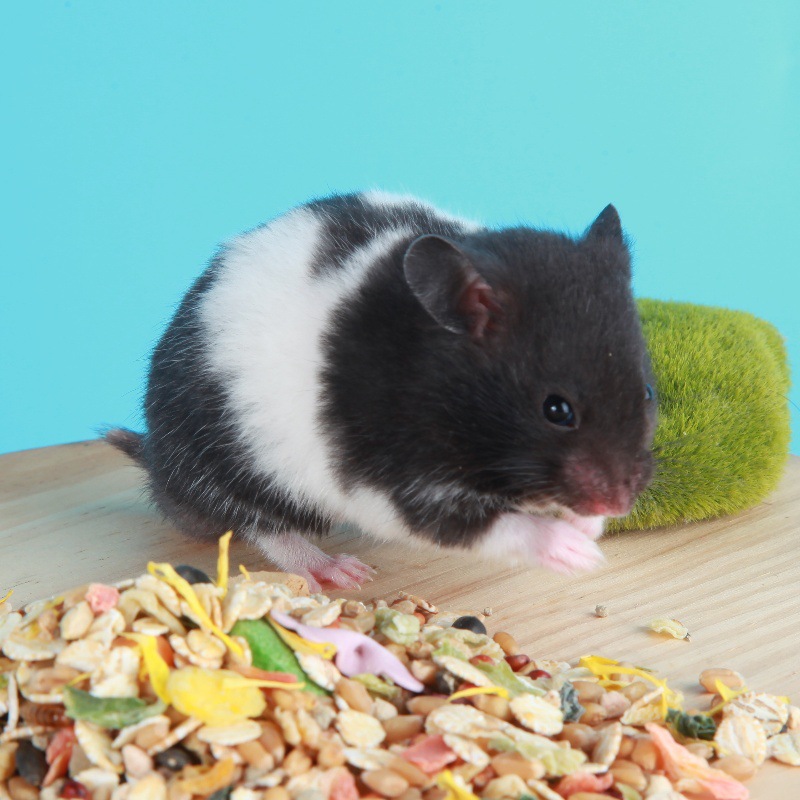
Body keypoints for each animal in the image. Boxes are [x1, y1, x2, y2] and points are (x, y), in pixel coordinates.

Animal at [107, 191, 657, 591]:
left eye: (648, 392)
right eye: (556, 410)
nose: (618, 506)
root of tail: (160, 464)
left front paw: (588, 529)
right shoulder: (395, 487)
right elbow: (488, 527)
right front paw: (580, 554)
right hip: (229, 464)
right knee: (264, 526)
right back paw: (341, 572)